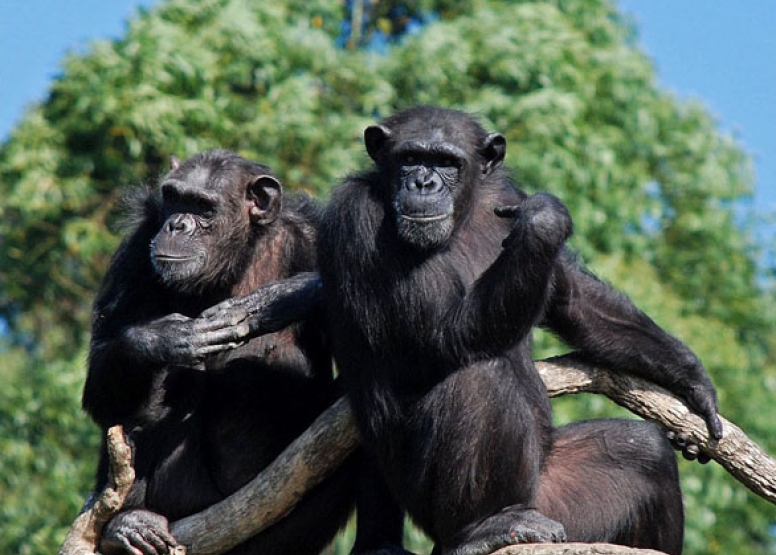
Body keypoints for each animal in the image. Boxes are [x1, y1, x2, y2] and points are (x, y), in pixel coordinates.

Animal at [82, 150, 364, 552]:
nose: (177, 225)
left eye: (203, 207)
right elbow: (101, 384)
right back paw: (126, 525)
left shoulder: (316, 234)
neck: (238, 255)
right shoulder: (137, 244)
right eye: (174, 198)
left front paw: (274, 301)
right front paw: (169, 336)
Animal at [314, 107, 720, 555]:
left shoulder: (505, 196)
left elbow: (573, 297)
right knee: (479, 377)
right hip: (427, 506)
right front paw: (544, 220)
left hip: (558, 502)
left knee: (642, 451)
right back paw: (485, 526)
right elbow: (442, 333)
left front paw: (693, 382)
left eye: (447, 163)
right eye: (410, 158)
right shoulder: (358, 216)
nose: (423, 182)